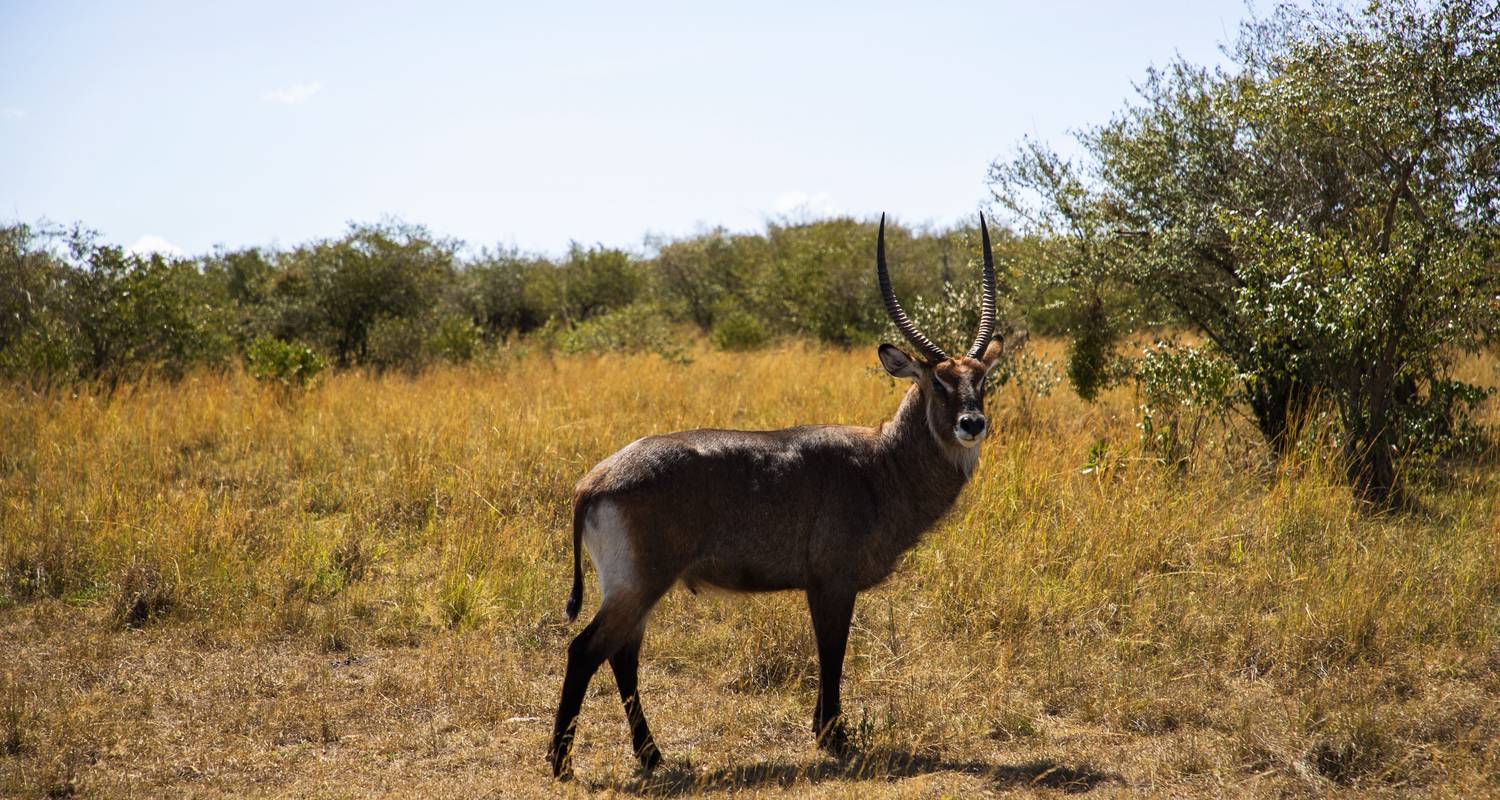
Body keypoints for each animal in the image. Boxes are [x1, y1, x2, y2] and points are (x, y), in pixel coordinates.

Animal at [549, 213, 1008, 780]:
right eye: (938, 382)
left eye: (980, 379)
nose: (972, 423)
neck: (880, 463)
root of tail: (592, 482)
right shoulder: (833, 583)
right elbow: (832, 652)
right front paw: (834, 738)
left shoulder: (821, 585)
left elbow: (827, 653)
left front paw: (824, 731)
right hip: (639, 583)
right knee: (585, 651)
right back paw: (563, 765)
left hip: (636, 587)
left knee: (621, 656)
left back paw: (651, 755)